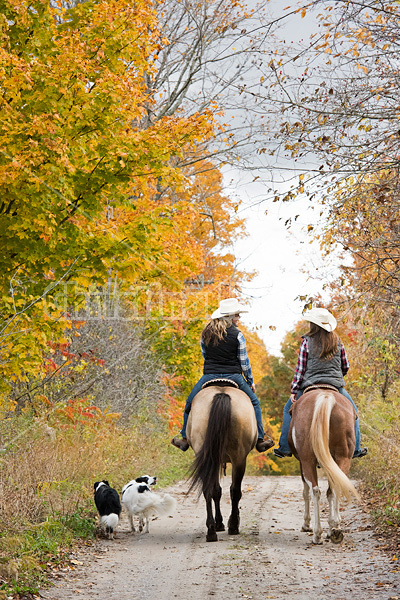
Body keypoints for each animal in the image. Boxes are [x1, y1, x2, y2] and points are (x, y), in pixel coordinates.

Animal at [187, 380, 258, 544]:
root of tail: (222, 394)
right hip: (239, 458)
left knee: (209, 490)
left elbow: (216, 491)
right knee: (235, 491)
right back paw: (232, 526)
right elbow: (220, 491)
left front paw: (219, 523)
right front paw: (224, 523)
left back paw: (211, 531)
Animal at [290, 386, 360, 548]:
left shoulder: (301, 462)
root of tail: (325, 396)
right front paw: (334, 525)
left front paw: (306, 524)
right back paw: (335, 530)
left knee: (315, 491)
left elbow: (305, 492)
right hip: (342, 458)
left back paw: (317, 534)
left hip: (307, 460)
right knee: (335, 488)